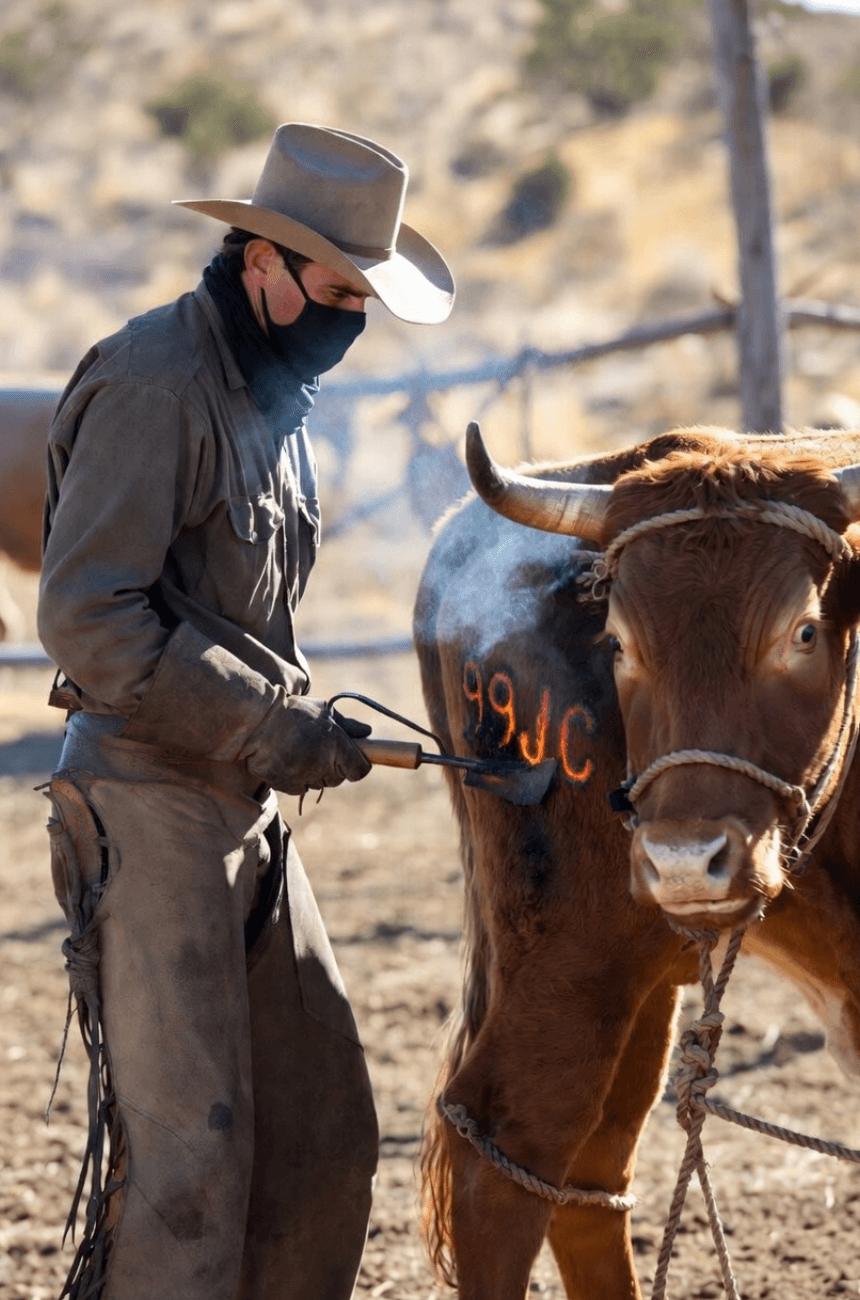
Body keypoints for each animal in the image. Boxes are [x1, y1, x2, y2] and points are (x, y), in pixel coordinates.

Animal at [415, 421, 860, 1300]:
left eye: (803, 630)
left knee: (589, 1181)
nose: (685, 859)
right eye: (618, 640)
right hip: (575, 960)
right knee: (506, 1159)